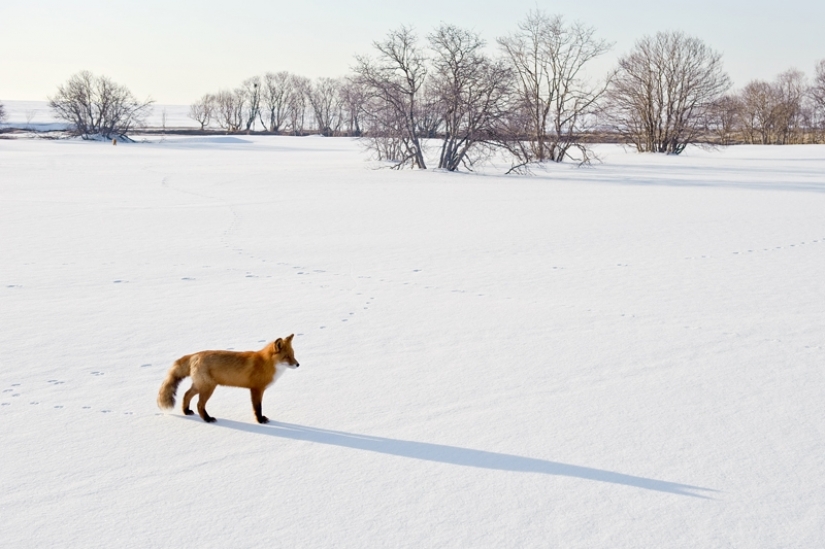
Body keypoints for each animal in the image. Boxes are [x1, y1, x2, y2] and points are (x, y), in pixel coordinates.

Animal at [157, 335, 299, 424]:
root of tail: (195, 355)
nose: (298, 364)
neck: (266, 363)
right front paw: (260, 420)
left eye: (293, 355)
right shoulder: (256, 389)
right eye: (287, 357)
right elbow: (258, 408)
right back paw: (208, 419)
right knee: (199, 404)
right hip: (208, 388)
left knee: (186, 395)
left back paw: (186, 411)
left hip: (200, 386)